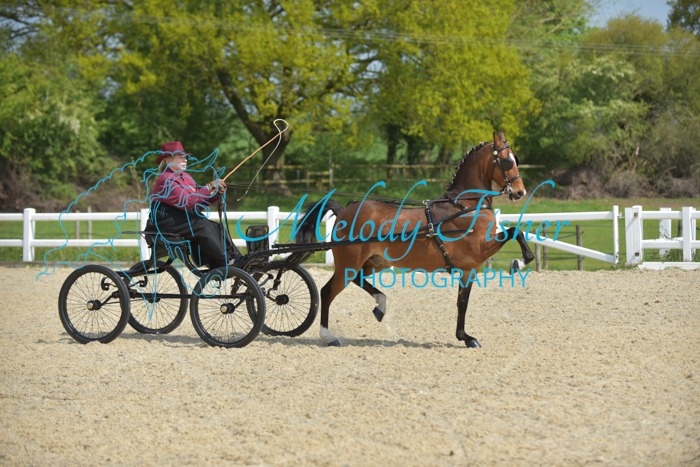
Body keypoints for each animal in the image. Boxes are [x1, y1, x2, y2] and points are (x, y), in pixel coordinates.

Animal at [296, 131, 534, 348]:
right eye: (506, 161)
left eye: (516, 159)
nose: (520, 192)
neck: (464, 206)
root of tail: (344, 211)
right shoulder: (479, 250)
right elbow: (515, 232)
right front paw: (518, 262)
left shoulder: (469, 268)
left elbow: (462, 303)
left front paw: (465, 337)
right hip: (349, 263)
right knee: (327, 291)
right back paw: (328, 336)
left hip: (375, 262)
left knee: (358, 280)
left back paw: (380, 306)